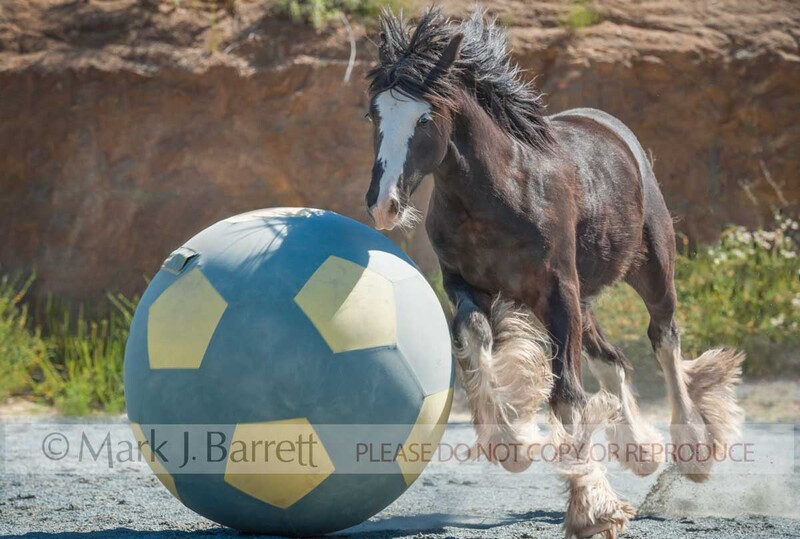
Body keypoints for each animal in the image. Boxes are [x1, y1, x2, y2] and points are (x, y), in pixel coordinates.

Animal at [363, 8, 743, 538]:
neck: (500, 194)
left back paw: (693, 449)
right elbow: (476, 338)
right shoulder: (465, 285)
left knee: (664, 339)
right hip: (583, 297)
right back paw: (641, 452)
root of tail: (614, 131)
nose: (383, 205)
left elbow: (567, 395)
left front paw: (593, 509)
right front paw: (511, 443)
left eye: (425, 118)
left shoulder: (558, 291)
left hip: (650, 269)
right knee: (614, 360)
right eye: (374, 115)